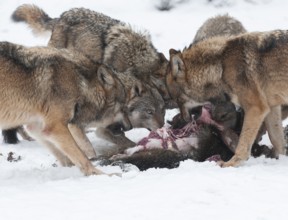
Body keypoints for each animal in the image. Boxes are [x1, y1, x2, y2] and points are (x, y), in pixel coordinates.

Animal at [0, 41, 132, 175]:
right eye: (123, 107)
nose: (130, 127)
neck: (80, 83)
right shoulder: (56, 127)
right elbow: (81, 156)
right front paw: (102, 174)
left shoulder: (37, 127)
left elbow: (64, 156)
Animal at [11, 4, 166, 148]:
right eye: (150, 112)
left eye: (163, 111)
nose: (163, 127)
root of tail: (61, 16)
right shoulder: (105, 125)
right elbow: (125, 141)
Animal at [166, 29, 288, 167]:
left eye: (177, 100)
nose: (182, 120)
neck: (221, 67)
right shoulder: (271, 108)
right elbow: (276, 139)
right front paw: (279, 157)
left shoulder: (256, 108)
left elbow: (243, 143)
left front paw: (231, 163)